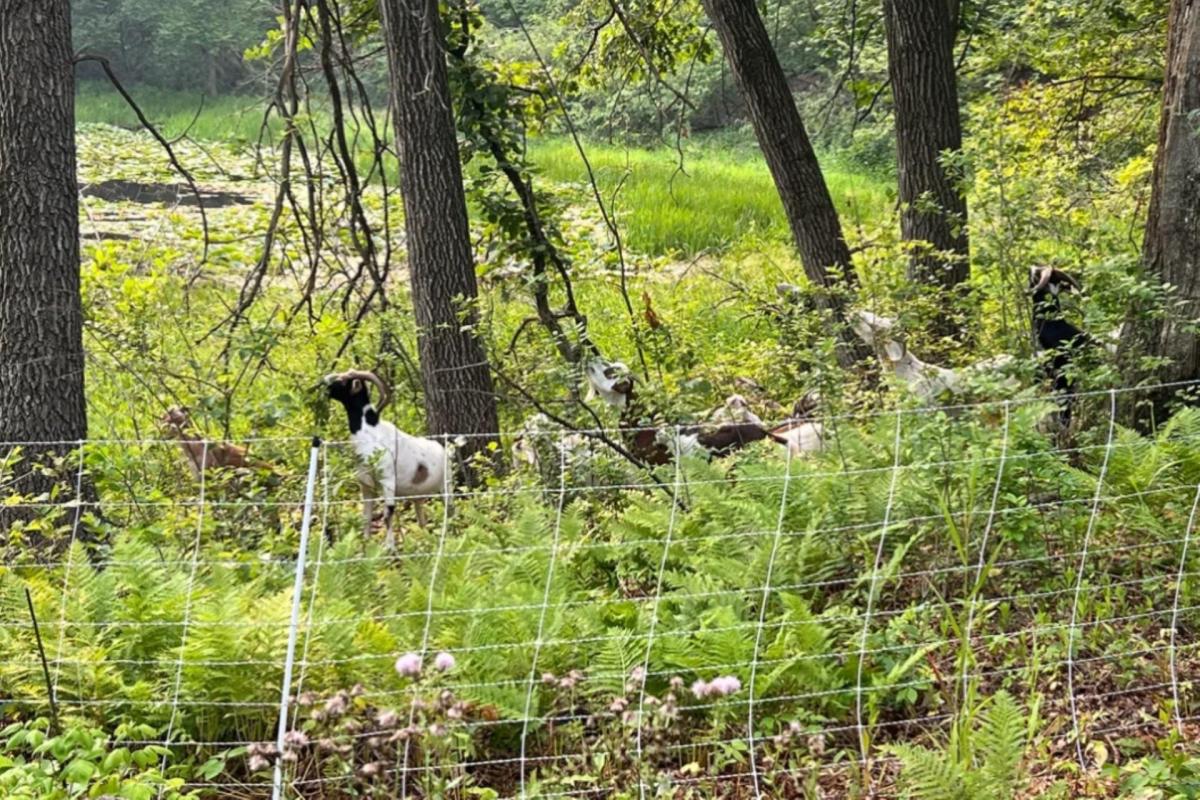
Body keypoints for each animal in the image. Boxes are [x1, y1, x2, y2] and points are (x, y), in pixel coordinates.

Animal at [321, 371, 448, 546]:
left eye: (343, 380)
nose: (324, 382)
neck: (370, 431)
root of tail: (442, 448)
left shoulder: (387, 481)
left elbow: (388, 514)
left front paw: (389, 547)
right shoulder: (366, 484)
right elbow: (366, 517)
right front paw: (366, 544)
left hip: (445, 487)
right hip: (417, 496)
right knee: (421, 518)